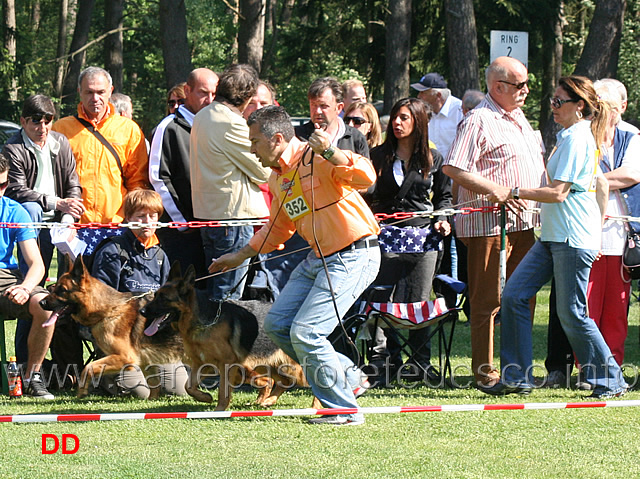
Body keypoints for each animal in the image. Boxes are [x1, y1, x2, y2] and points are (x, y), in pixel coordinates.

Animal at [39, 256, 182, 400]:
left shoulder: (126, 357)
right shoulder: (144, 361)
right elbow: (154, 385)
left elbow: (88, 367)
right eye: (54, 288)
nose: (41, 302)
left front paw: (82, 390)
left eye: (62, 289)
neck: (108, 311)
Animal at [139, 262, 312, 412]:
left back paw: (315, 407)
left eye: (164, 299)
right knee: (282, 381)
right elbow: (189, 387)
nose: (141, 311)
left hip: (291, 366)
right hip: (269, 365)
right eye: (155, 295)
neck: (204, 322)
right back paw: (268, 401)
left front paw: (219, 410)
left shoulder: (226, 364)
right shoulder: (202, 364)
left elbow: (223, 390)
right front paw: (205, 397)